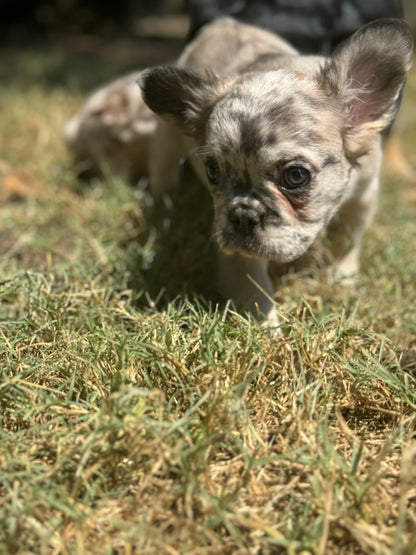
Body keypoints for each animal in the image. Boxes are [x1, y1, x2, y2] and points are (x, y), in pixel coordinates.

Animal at [138, 17, 412, 326]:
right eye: (212, 170)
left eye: (296, 176)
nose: (243, 215)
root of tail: (224, 23)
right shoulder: (237, 252)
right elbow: (252, 285)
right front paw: (266, 330)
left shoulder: (363, 194)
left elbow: (348, 241)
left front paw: (343, 279)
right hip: (165, 144)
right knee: (163, 178)